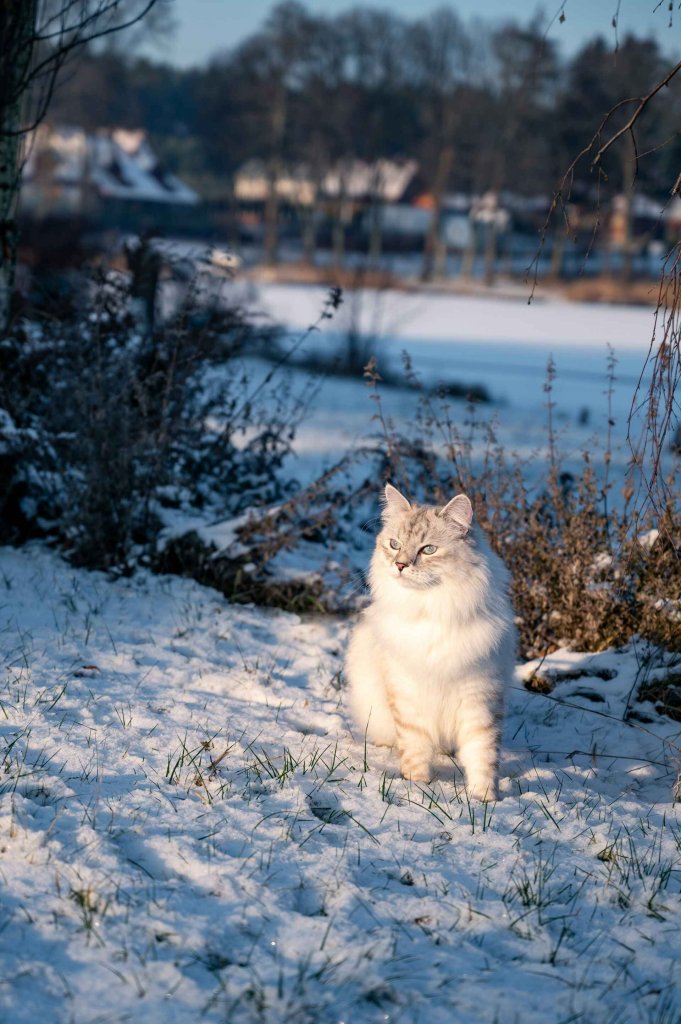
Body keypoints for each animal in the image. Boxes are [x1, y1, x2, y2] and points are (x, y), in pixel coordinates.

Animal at [346, 483, 516, 802]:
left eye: (428, 550)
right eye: (395, 544)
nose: (400, 565)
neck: (430, 610)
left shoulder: (479, 696)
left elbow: (482, 753)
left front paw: (484, 798)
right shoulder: (407, 692)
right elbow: (414, 747)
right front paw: (417, 786)